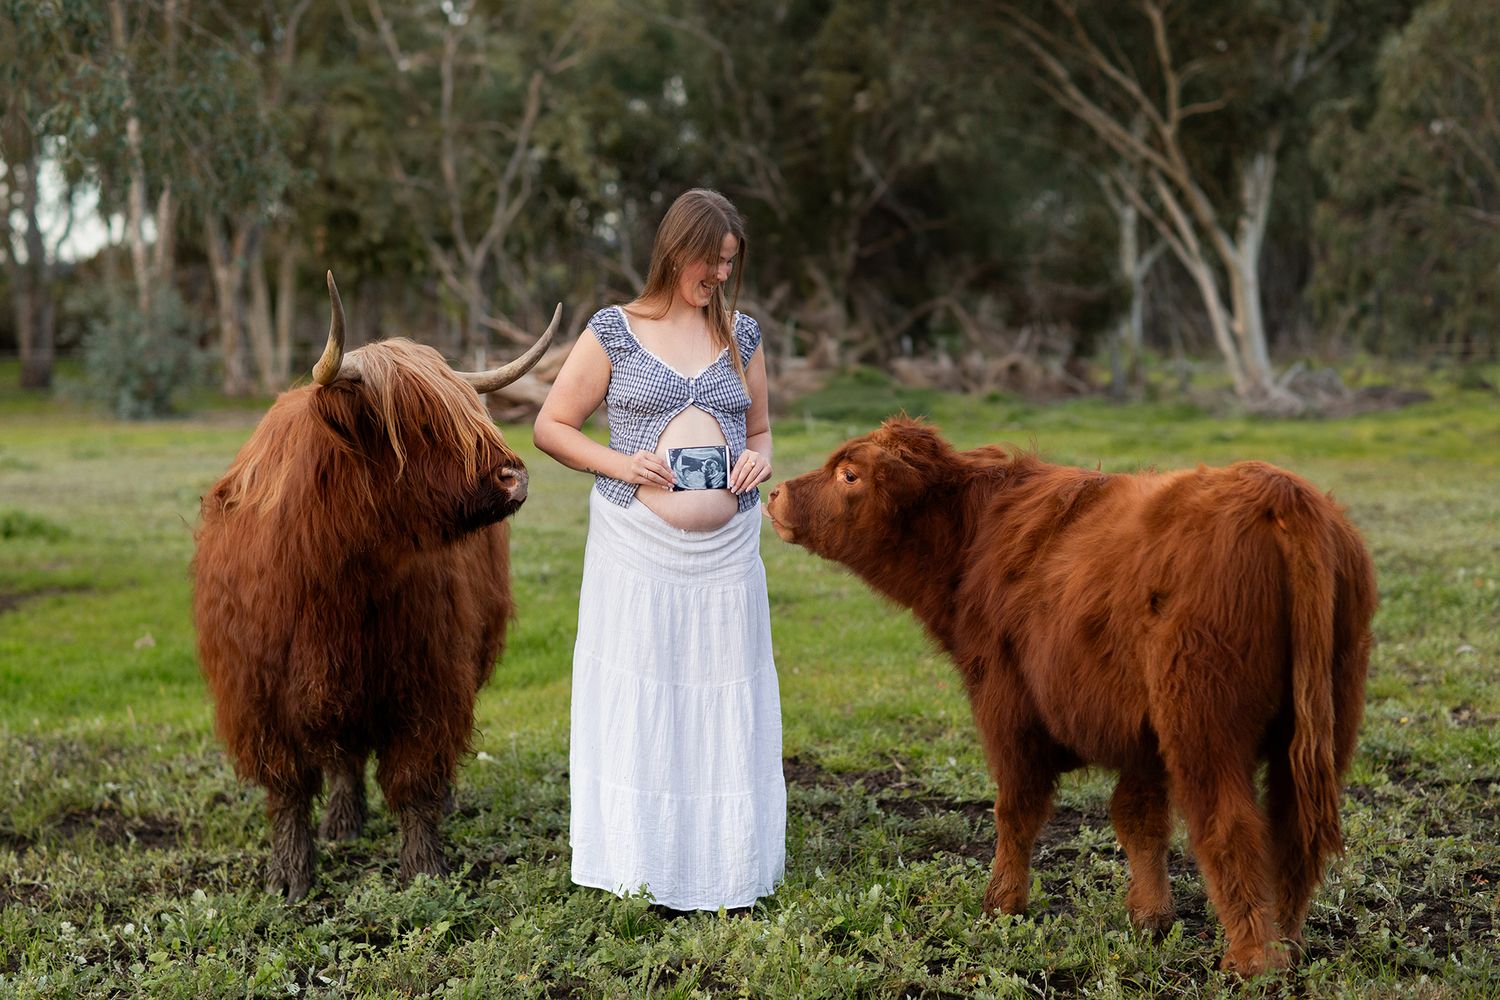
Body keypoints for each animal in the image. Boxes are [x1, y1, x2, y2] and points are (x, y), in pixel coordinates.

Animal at [192, 273, 557, 901]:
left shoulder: (430, 678)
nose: (515, 477)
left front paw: (425, 870)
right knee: (343, 756)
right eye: (416, 423)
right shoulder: (259, 693)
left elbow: (416, 779)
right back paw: (342, 823)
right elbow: (288, 789)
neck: (337, 576)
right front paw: (290, 878)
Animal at [765, 417, 1375, 975]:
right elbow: (1138, 817)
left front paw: (1001, 905)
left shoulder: (1005, 707)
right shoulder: (1140, 737)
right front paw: (1150, 917)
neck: (973, 537)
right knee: (1293, 834)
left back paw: (1252, 961)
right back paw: (1286, 945)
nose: (774, 492)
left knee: (1231, 826)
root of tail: (1278, 491)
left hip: (1203, 728)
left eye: (849, 474)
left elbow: (1017, 809)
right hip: (1325, 721)